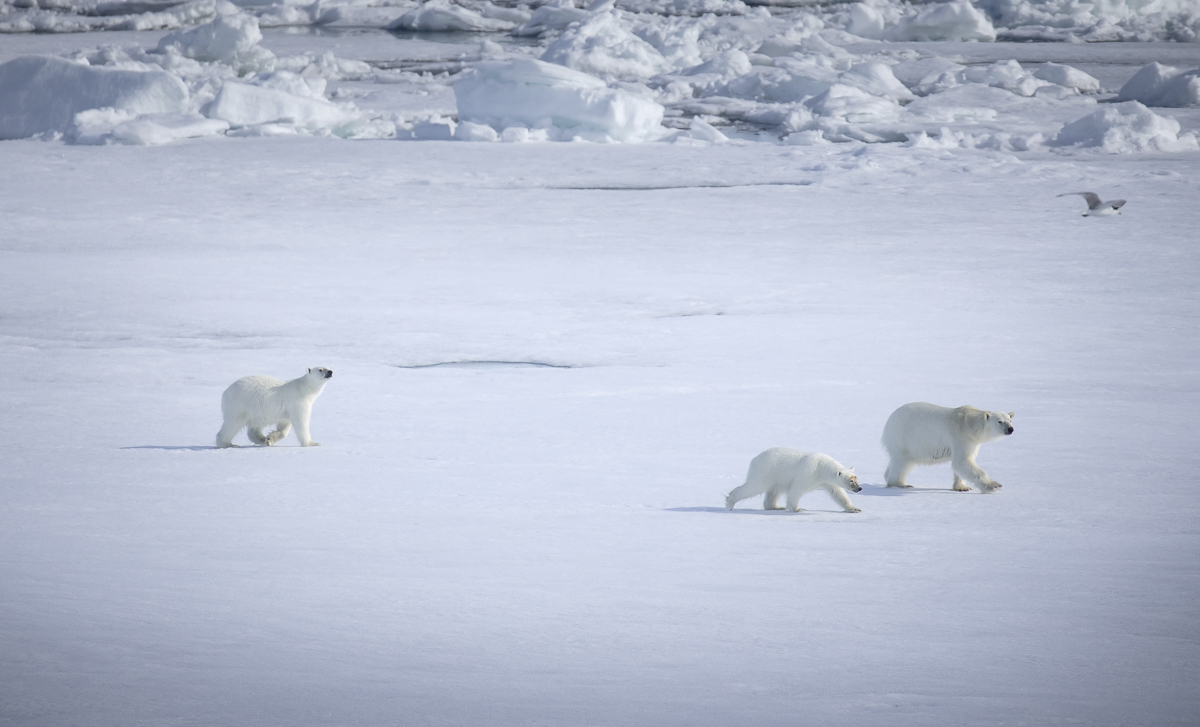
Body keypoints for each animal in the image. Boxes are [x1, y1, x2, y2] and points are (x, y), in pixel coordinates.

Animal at [725, 448, 862, 513]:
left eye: (856, 478)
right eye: (850, 481)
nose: (859, 488)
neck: (821, 466)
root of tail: (754, 459)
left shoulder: (826, 481)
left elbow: (839, 494)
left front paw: (854, 509)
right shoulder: (807, 474)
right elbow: (796, 490)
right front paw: (797, 509)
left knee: (773, 492)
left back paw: (776, 507)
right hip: (766, 472)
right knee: (753, 487)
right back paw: (730, 503)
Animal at [881, 402, 1014, 493]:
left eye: (1010, 420)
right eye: (1000, 421)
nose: (1010, 429)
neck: (970, 424)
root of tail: (890, 419)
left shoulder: (973, 442)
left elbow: (963, 462)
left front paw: (962, 487)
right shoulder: (961, 436)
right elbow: (962, 462)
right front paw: (994, 485)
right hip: (903, 437)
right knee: (902, 462)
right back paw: (900, 484)